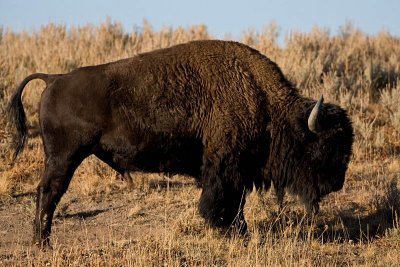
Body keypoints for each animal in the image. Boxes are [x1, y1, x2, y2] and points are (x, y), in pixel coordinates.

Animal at [7, 40, 354, 247]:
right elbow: (219, 203)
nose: (336, 184)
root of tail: (55, 78)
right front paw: (227, 232)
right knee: (49, 192)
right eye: (323, 146)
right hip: (64, 157)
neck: (265, 103)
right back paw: (42, 243)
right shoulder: (224, 168)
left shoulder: (238, 172)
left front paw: (238, 232)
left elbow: (237, 205)